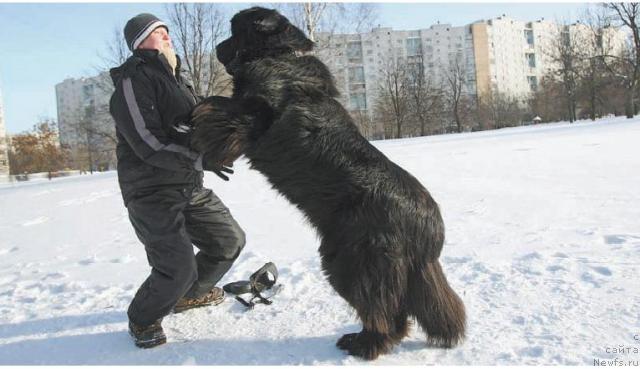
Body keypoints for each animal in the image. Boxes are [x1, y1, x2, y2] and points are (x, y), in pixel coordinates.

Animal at [190, 5, 464, 358]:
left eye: (236, 31)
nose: (217, 48)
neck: (279, 55)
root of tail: (430, 228)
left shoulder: (252, 115)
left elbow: (216, 106)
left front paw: (199, 123)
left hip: (353, 261)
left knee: (382, 311)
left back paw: (364, 344)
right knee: (398, 312)